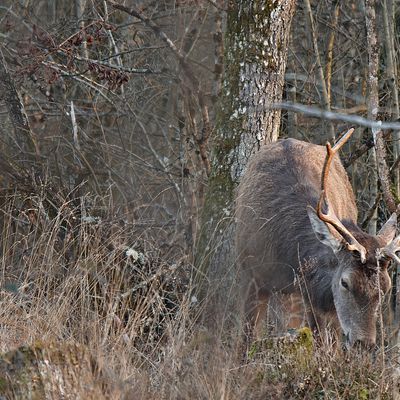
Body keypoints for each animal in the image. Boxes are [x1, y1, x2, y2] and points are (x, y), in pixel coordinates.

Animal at [236, 130, 400, 348]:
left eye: (386, 287)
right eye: (345, 282)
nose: (364, 342)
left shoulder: (312, 296)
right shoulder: (252, 274)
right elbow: (245, 339)